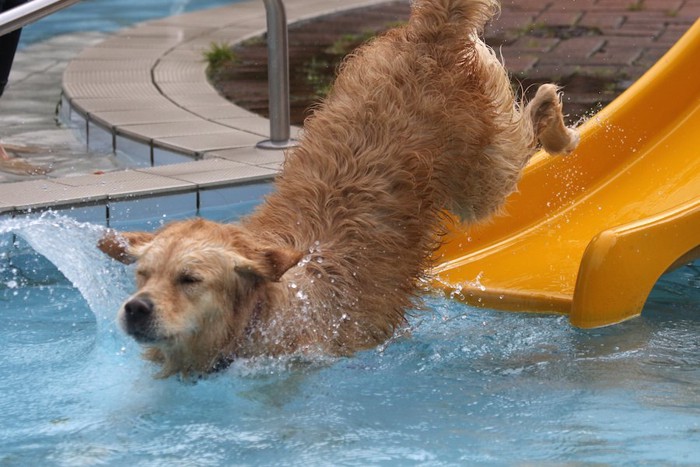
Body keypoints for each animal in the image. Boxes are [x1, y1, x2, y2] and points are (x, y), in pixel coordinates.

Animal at [100, 0, 580, 380]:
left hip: (481, 176)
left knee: (532, 112)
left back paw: (561, 131)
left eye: (190, 279)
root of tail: (428, 32)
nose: (135, 307)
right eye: (142, 274)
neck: (270, 306)